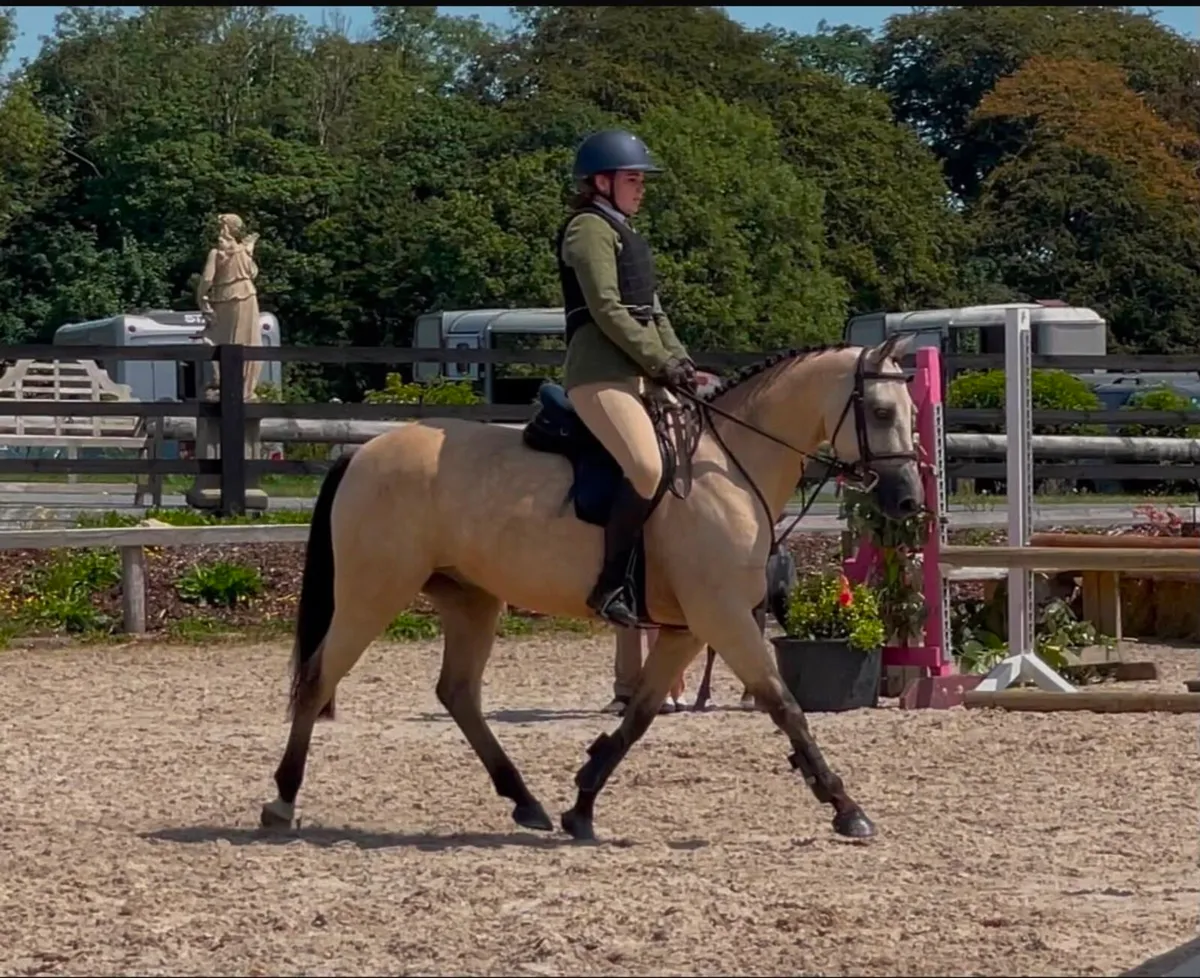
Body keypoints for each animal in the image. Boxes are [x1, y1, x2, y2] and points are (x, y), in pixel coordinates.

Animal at [259, 334, 921, 843]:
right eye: (882, 412)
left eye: (912, 412)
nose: (909, 500)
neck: (729, 466)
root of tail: (364, 451)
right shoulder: (725, 617)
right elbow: (785, 705)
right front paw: (845, 806)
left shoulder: (688, 629)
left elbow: (641, 714)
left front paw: (581, 805)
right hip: (373, 593)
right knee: (319, 678)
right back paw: (282, 801)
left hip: (471, 599)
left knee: (458, 693)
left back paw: (524, 801)